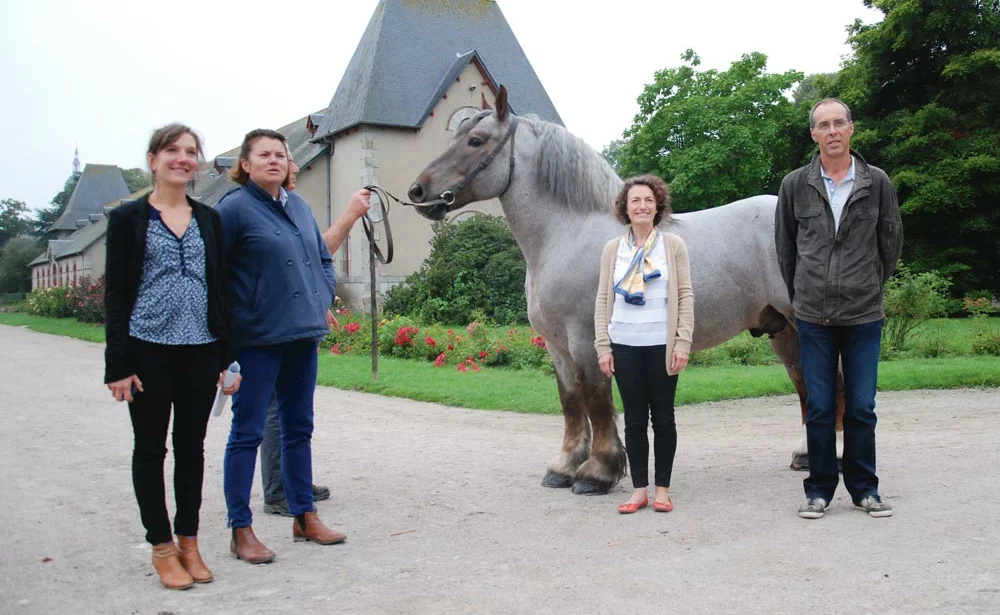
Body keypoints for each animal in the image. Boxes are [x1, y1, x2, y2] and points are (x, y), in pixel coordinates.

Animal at [406, 86, 828, 496]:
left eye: (476, 141)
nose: (418, 191)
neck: (566, 235)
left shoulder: (586, 340)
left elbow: (597, 399)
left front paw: (597, 472)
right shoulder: (557, 347)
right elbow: (571, 402)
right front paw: (564, 468)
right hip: (781, 331)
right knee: (805, 386)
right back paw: (806, 455)